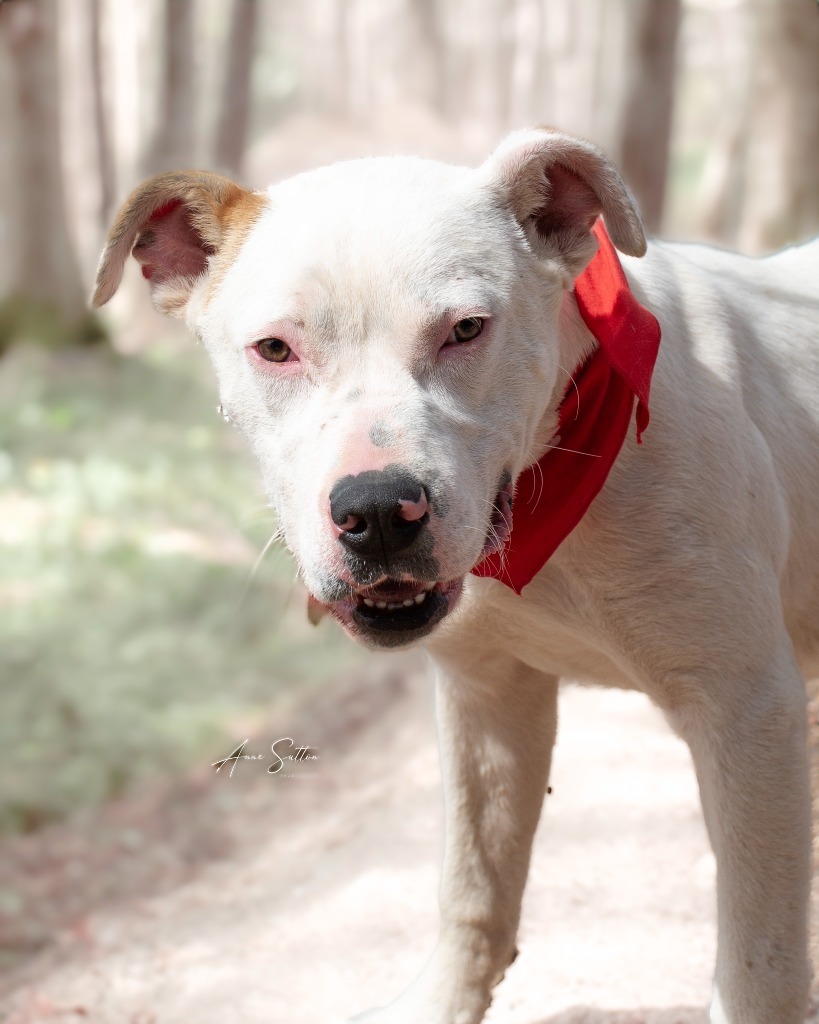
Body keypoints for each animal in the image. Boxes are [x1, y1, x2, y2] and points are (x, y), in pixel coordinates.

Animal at [92, 130, 814, 1024]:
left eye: (466, 329)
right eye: (275, 349)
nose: (376, 511)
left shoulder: (745, 710)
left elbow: (758, 960)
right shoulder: (487, 697)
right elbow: (476, 885)